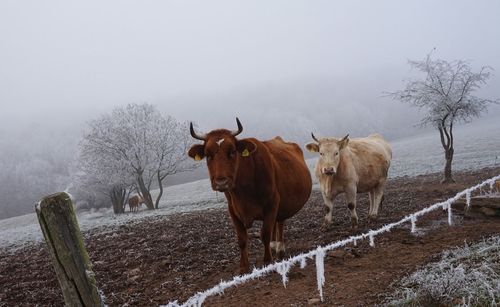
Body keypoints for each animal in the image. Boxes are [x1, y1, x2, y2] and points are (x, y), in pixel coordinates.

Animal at [188, 118, 312, 274]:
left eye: (232, 152)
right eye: (208, 155)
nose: (221, 182)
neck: (243, 193)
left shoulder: (272, 202)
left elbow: (264, 233)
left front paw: (267, 261)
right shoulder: (232, 209)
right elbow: (242, 239)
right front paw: (243, 267)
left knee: (280, 222)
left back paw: (279, 248)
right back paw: (274, 246)